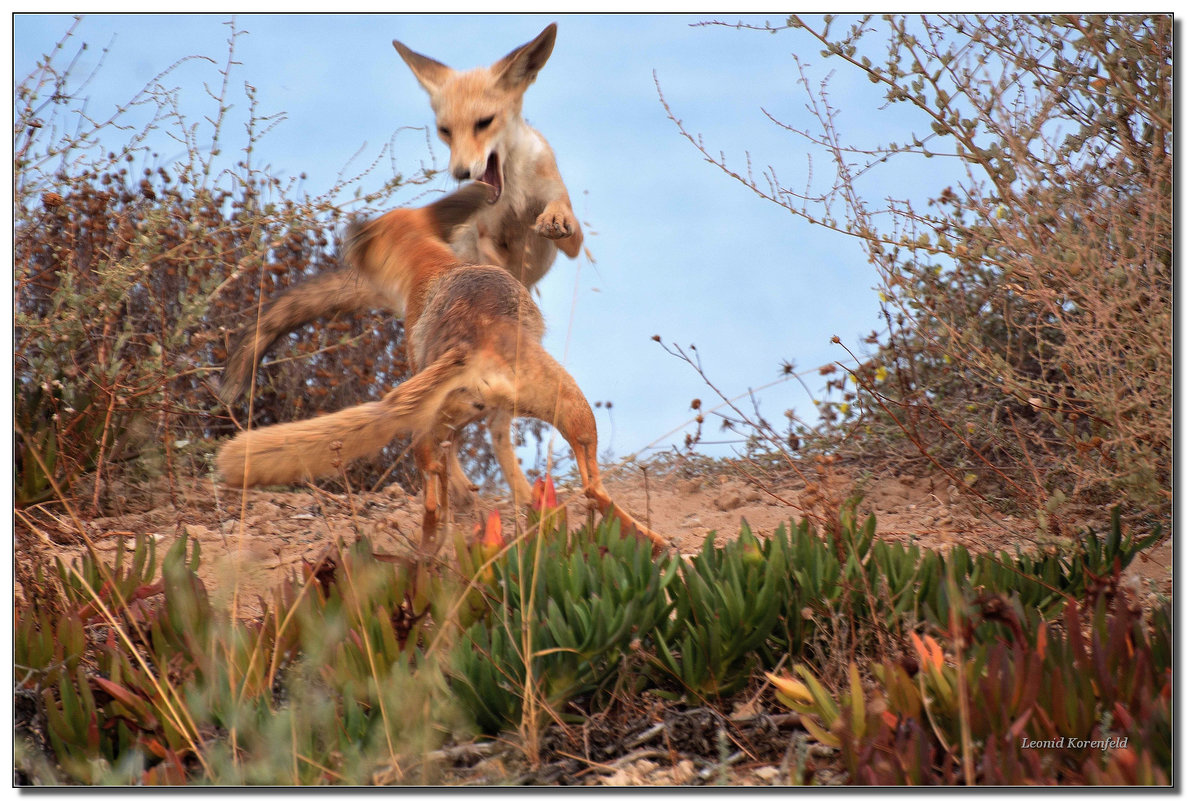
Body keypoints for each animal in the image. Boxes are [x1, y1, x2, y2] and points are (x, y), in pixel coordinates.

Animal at [218, 185, 664, 555]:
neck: (430, 262)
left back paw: (432, 547)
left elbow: (480, 465)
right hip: (571, 408)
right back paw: (651, 540)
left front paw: (496, 496)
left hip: (434, 431)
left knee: (435, 499)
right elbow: (502, 452)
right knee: (593, 488)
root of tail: (475, 340)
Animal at [219, 25, 584, 408]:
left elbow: (561, 216)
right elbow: (492, 255)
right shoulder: (482, 236)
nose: (461, 173)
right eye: (445, 130)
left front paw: (553, 220)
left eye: (484, 123)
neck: (512, 194)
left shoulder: (571, 235)